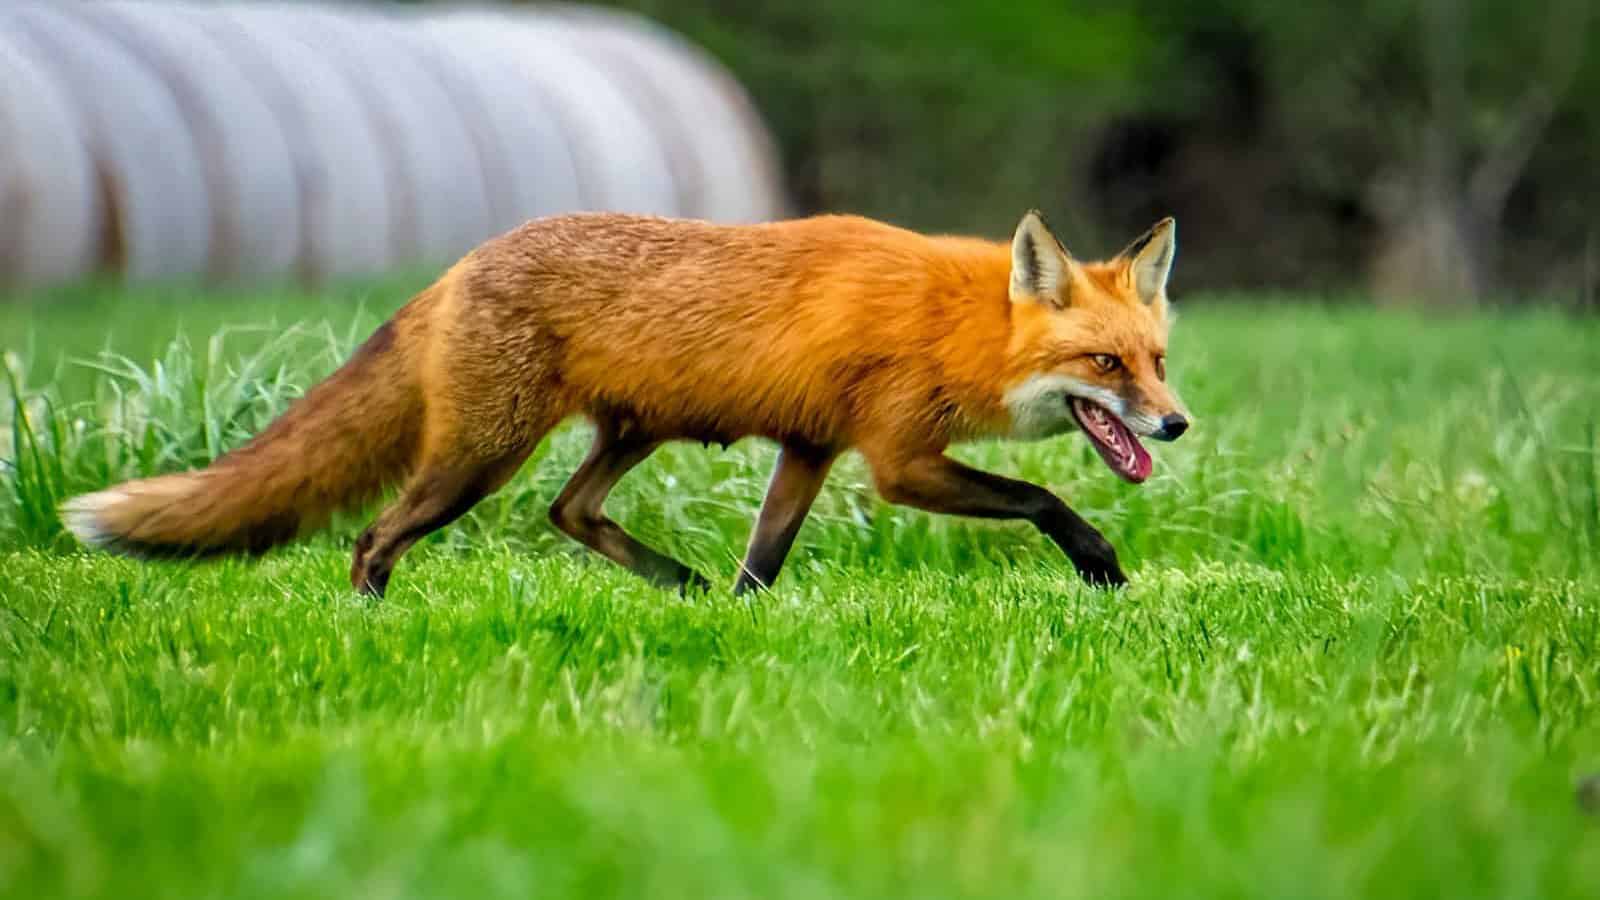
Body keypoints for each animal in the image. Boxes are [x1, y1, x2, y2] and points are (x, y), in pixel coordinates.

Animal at [61, 209, 1191, 596]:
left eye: (1159, 360)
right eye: (1104, 365)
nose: (1177, 424)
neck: (946, 324)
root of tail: (460, 262)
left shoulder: (810, 450)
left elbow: (762, 564)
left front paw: (741, 621)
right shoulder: (897, 461)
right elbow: (1043, 500)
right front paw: (1099, 565)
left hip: (626, 436)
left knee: (570, 511)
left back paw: (679, 586)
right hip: (476, 460)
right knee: (373, 537)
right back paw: (370, 622)